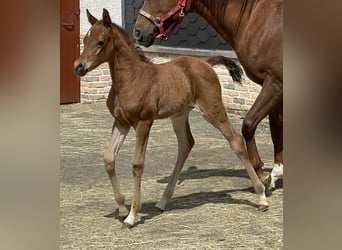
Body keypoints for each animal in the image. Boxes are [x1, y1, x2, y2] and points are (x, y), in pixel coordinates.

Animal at [74, 8, 268, 227]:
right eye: (85, 39)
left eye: (100, 42)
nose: (78, 66)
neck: (131, 79)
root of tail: (205, 63)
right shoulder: (121, 122)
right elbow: (108, 158)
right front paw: (122, 208)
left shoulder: (144, 122)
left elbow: (137, 164)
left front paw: (132, 215)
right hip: (179, 115)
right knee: (186, 144)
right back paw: (163, 201)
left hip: (213, 110)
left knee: (235, 140)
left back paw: (261, 196)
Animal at [134, 0, 284, 189]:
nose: (138, 32)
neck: (258, 21)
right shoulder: (273, 86)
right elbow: (276, 129)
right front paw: (276, 173)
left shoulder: (275, 84)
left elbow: (249, 124)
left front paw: (262, 173)